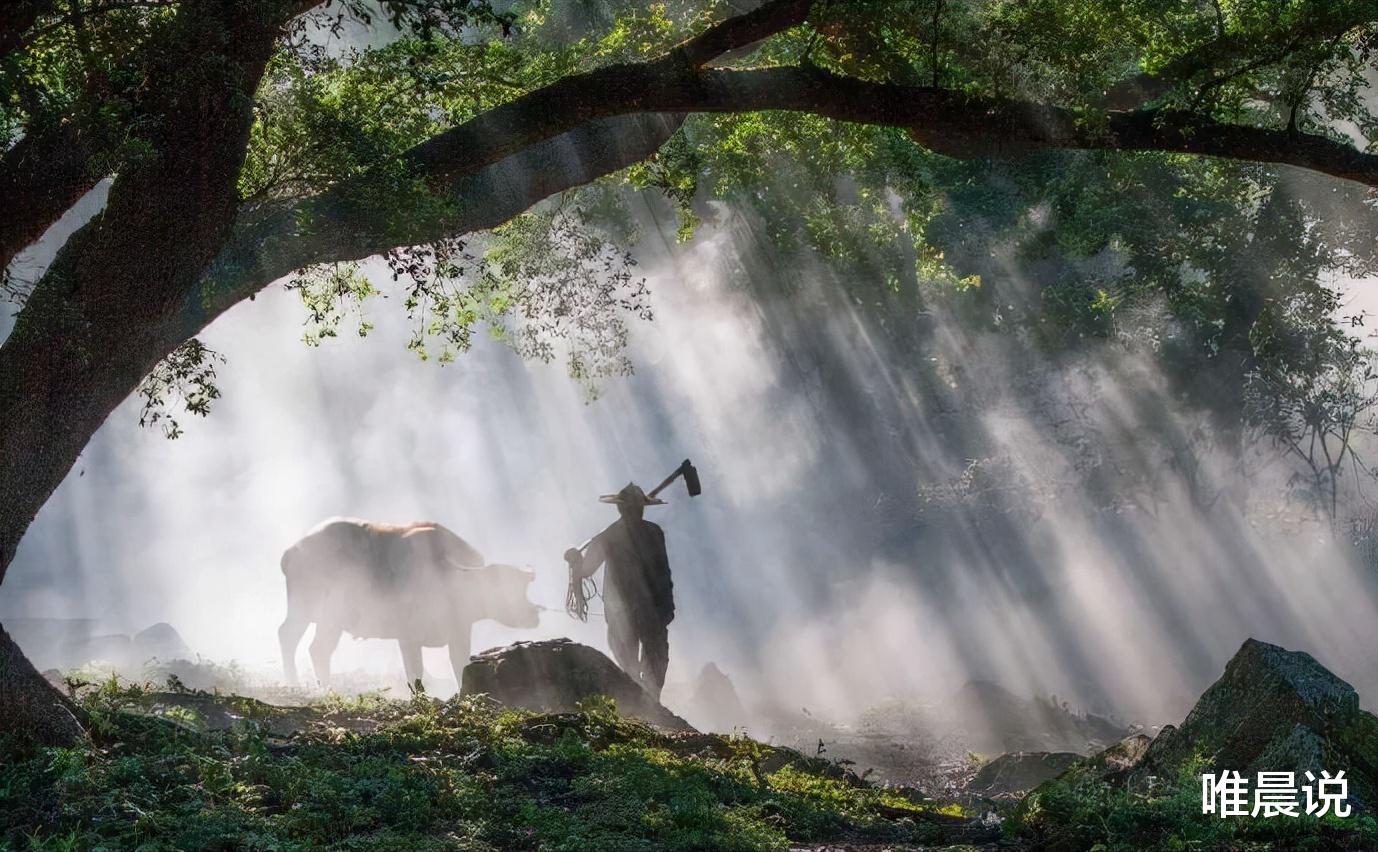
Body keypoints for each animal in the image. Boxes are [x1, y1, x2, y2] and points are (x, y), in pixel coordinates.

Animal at [276, 512, 540, 686]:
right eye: (503, 586)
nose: (535, 614)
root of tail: (291, 552)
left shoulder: (458, 633)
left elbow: (458, 667)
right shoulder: (409, 637)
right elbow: (416, 674)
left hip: (314, 617)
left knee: (301, 641)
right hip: (320, 614)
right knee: (307, 644)